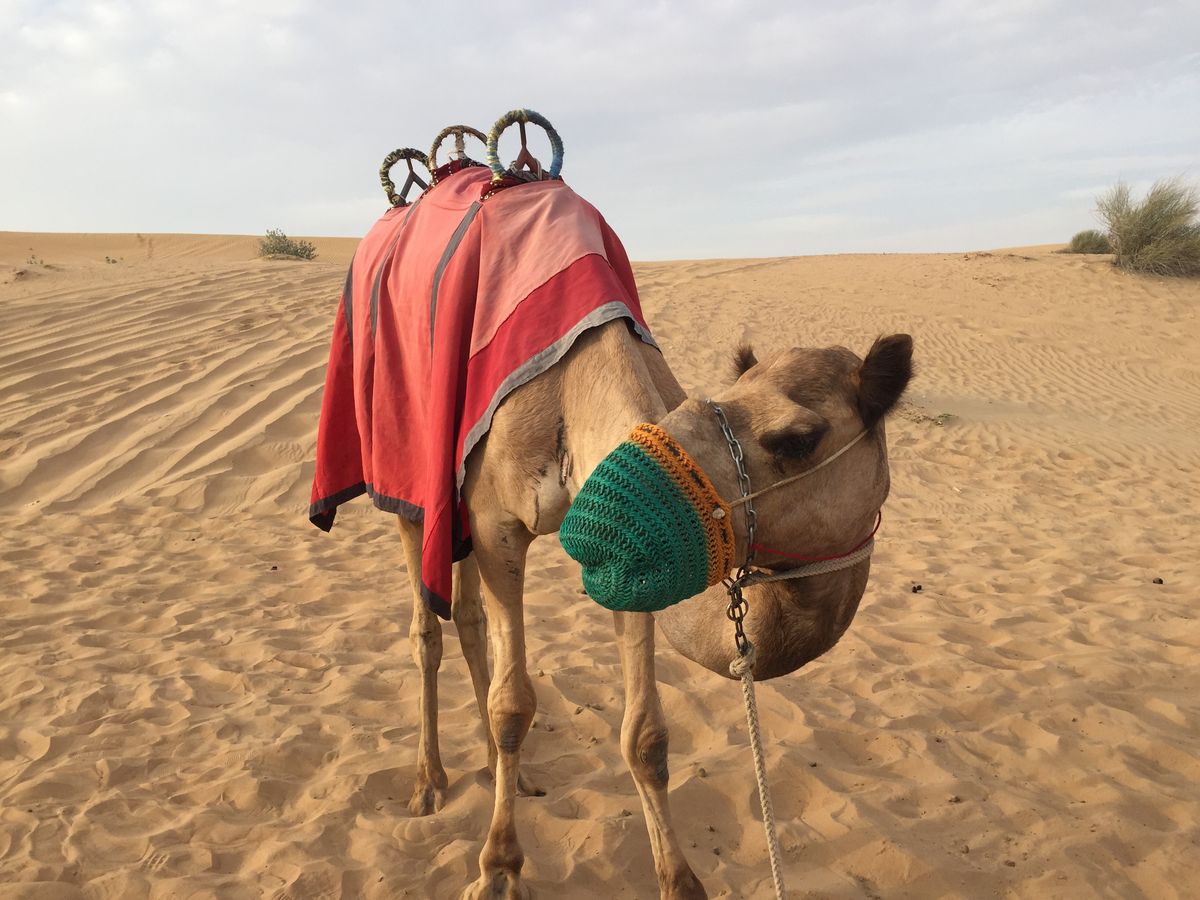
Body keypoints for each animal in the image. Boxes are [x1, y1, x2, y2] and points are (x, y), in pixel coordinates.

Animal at [395, 322, 913, 898]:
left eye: (799, 440)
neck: (571, 395)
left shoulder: (629, 565)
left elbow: (646, 737)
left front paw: (680, 882)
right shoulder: (494, 522)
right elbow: (511, 706)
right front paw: (498, 871)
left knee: (467, 616)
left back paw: (500, 770)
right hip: (414, 487)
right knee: (427, 629)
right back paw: (428, 783)